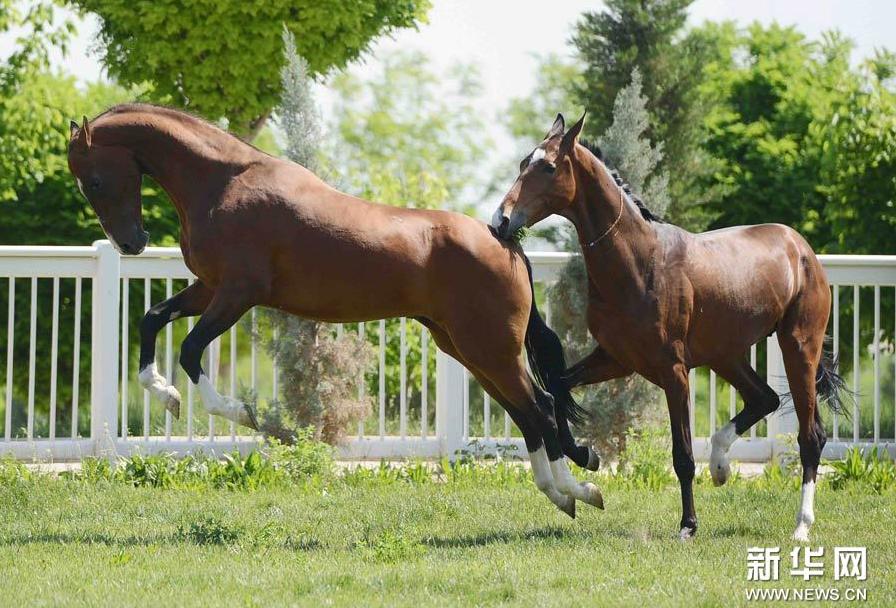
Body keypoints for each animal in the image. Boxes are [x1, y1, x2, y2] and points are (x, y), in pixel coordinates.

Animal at [66, 104, 604, 516]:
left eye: (94, 179)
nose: (131, 244)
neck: (224, 182)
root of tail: (504, 239)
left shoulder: (236, 293)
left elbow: (191, 349)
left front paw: (242, 414)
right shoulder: (208, 288)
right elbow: (152, 319)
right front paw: (167, 395)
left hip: (490, 349)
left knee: (541, 405)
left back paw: (575, 490)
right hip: (468, 348)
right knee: (527, 412)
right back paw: (566, 492)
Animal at [490, 114, 848, 540]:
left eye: (547, 167)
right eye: (523, 163)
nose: (500, 221)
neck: (641, 262)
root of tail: (800, 248)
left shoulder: (673, 371)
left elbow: (682, 456)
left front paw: (688, 525)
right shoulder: (617, 359)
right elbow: (558, 386)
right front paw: (586, 456)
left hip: (799, 349)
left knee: (811, 436)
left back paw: (801, 526)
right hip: (726, 357)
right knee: (764, 399)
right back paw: (721, 467)